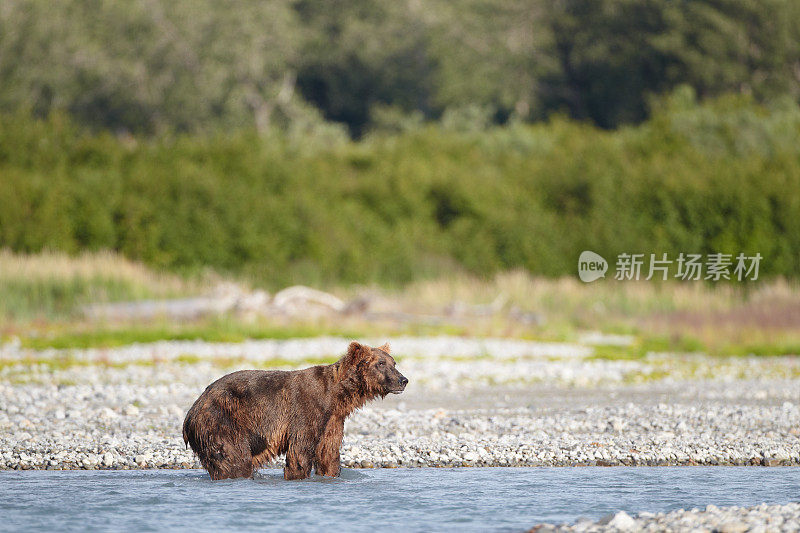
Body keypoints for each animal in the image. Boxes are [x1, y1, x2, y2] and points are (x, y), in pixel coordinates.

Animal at [181, 342, 406, 480]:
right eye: (381, 363)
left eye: (393, 362)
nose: (403, 380)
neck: (336, 396)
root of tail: (191, 412)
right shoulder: (306, 411)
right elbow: (300, 451)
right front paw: (298, 474)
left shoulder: (333, 420)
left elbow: (328, 453)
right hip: (222, 421)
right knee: (234, 460)